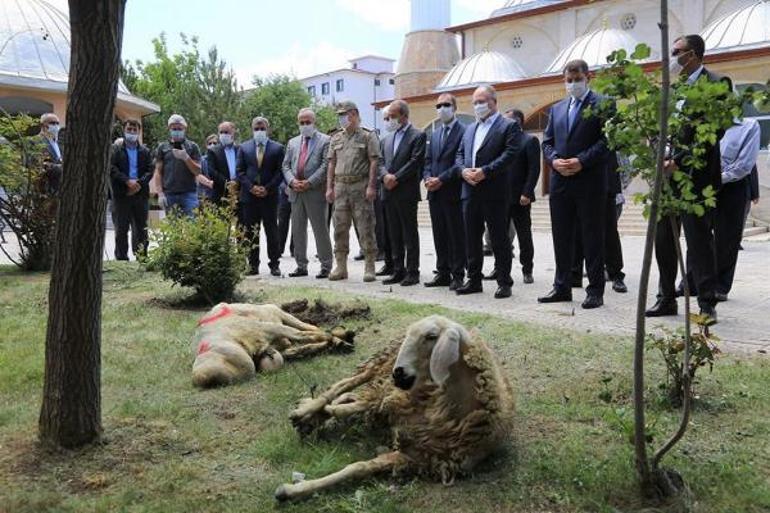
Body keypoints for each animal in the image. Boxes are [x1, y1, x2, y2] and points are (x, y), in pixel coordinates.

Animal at [190, 302, 352, 386]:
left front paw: (336, 339)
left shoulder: (266, 329)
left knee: (307, 327)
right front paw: (333, 343)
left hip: (282, 315)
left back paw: (340, 335)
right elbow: (302, 348)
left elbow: (301, 335)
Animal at [272, 314, 512, 502]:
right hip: (382, 368)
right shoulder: (395, 399)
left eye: (431, 336)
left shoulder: (412, 457)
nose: (399, 372)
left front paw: (293, 490)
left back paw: (313, 415)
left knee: (351, 395)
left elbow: (358, 468)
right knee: (349, 384)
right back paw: (306, 412)